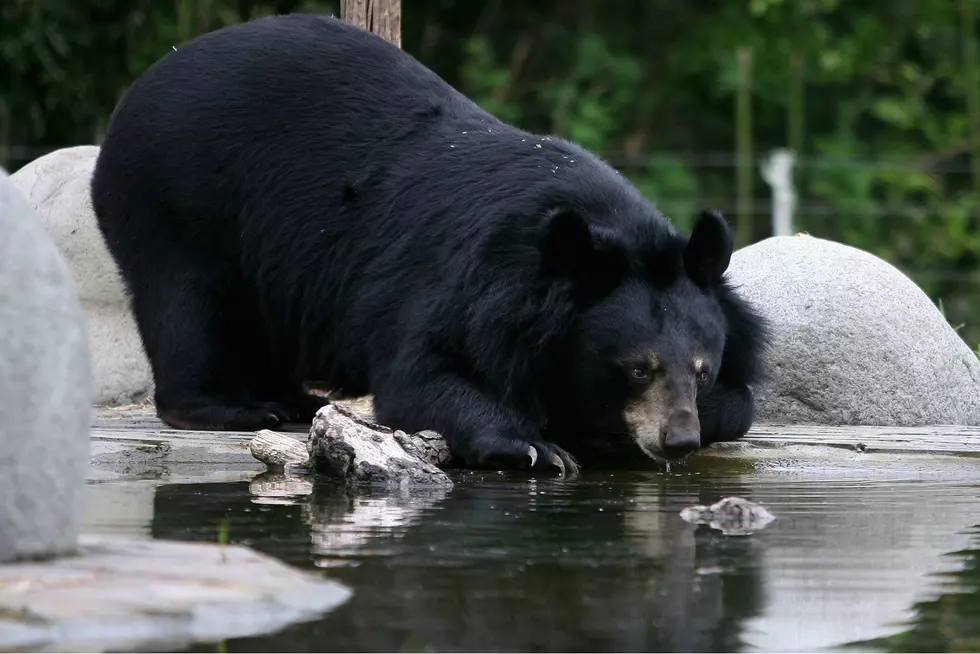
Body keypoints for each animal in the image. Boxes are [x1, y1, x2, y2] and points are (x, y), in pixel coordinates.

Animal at [90, 12, 764, 474]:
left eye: (701, 371)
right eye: (637, 368)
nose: (677, 440)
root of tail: (143, 84)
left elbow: (744, 401)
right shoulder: (466, 282)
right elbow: (425, 375)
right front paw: (537, 446)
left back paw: (291, 397)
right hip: (177, 199)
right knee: (188, 304)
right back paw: (237, 407)